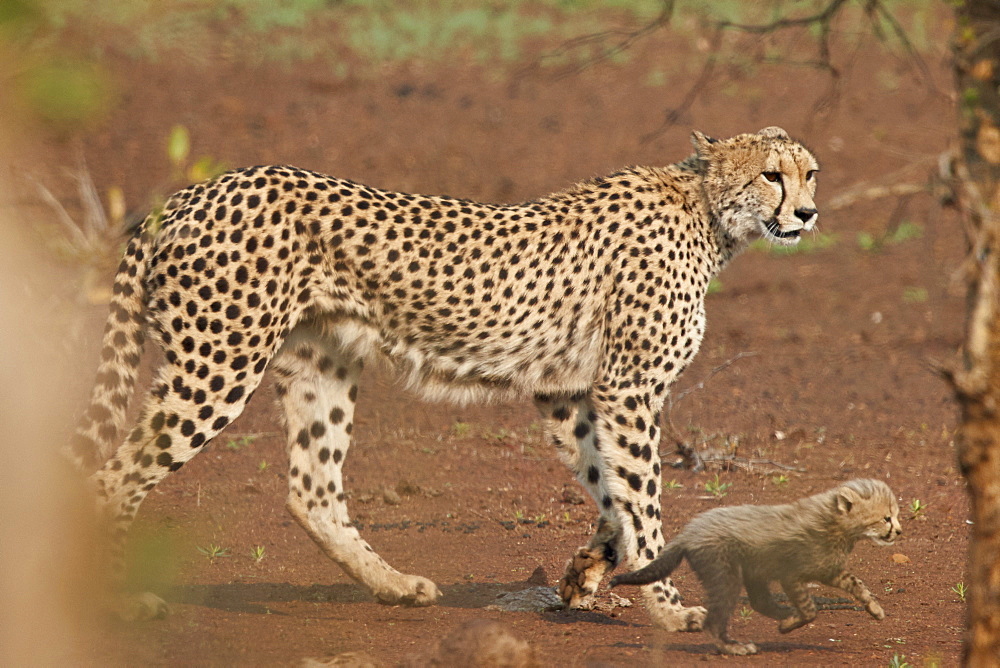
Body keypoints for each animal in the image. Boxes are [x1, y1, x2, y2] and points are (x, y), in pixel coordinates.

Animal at [72, 126, 820, 632]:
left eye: (810, 173)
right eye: (771, 176)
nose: (809, 212)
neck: (705, 211)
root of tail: (191, 193)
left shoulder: (568, 392)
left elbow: (609, 488)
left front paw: (585, 575)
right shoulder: (628, 390)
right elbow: (642, 499)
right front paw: (668, 609)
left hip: (322, 364)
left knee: (311, 490)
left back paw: (394, 586)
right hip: (217, 365)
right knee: (113, 476)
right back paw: (123, 602)